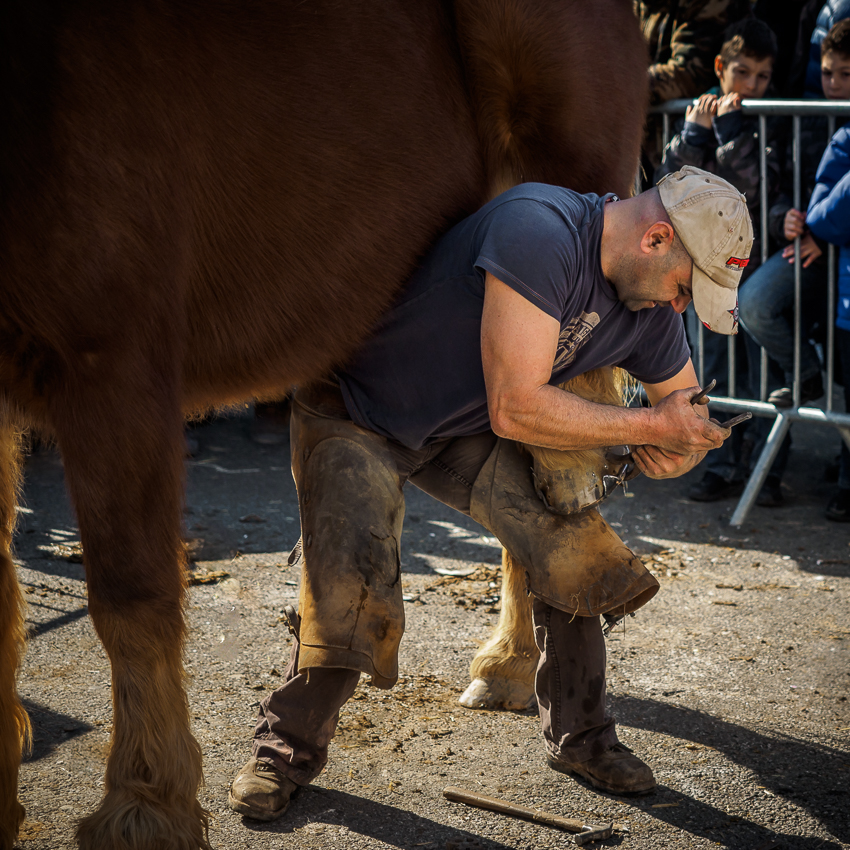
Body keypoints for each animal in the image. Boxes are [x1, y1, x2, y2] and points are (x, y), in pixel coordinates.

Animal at [0, 3, 644, 844]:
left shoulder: (114, 366)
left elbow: (131, 597)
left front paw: (145, 808)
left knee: (554, 475)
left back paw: (520, 667)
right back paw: (509, 664)